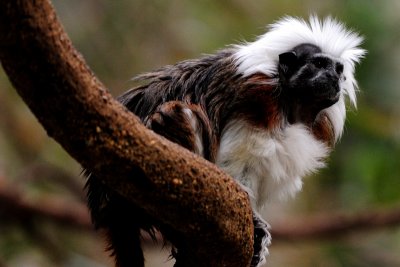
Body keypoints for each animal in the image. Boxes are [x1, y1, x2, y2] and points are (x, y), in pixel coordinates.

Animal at [84, 16, 366, 267]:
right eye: (319, 64)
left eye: (338, 69)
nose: (332, 77)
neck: (289, 104)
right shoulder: (257, 101)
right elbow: (236, 165)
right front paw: (254, 224)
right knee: (179, 115)